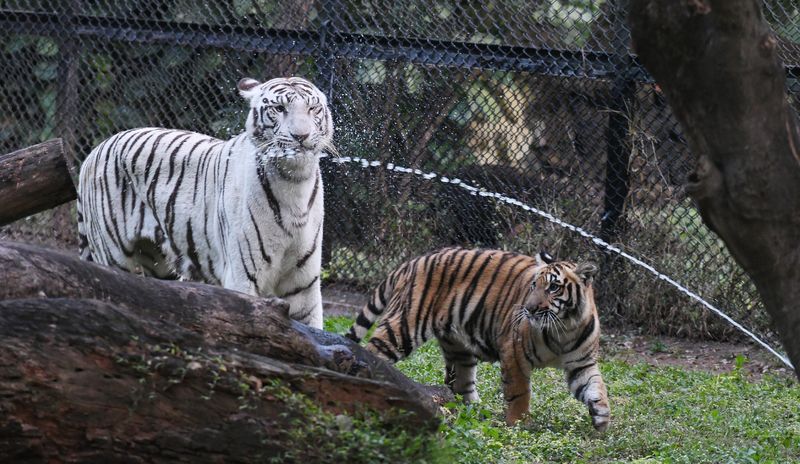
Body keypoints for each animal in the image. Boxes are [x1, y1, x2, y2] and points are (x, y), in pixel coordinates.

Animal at [76, 76, 332, 328]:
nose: (301, 136)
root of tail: (95, 151)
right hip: (112, 254)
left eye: (312, 108)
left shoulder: (304, 284)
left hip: (158, 262)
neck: (294, 181)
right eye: (279, 109)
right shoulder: (242, 275)